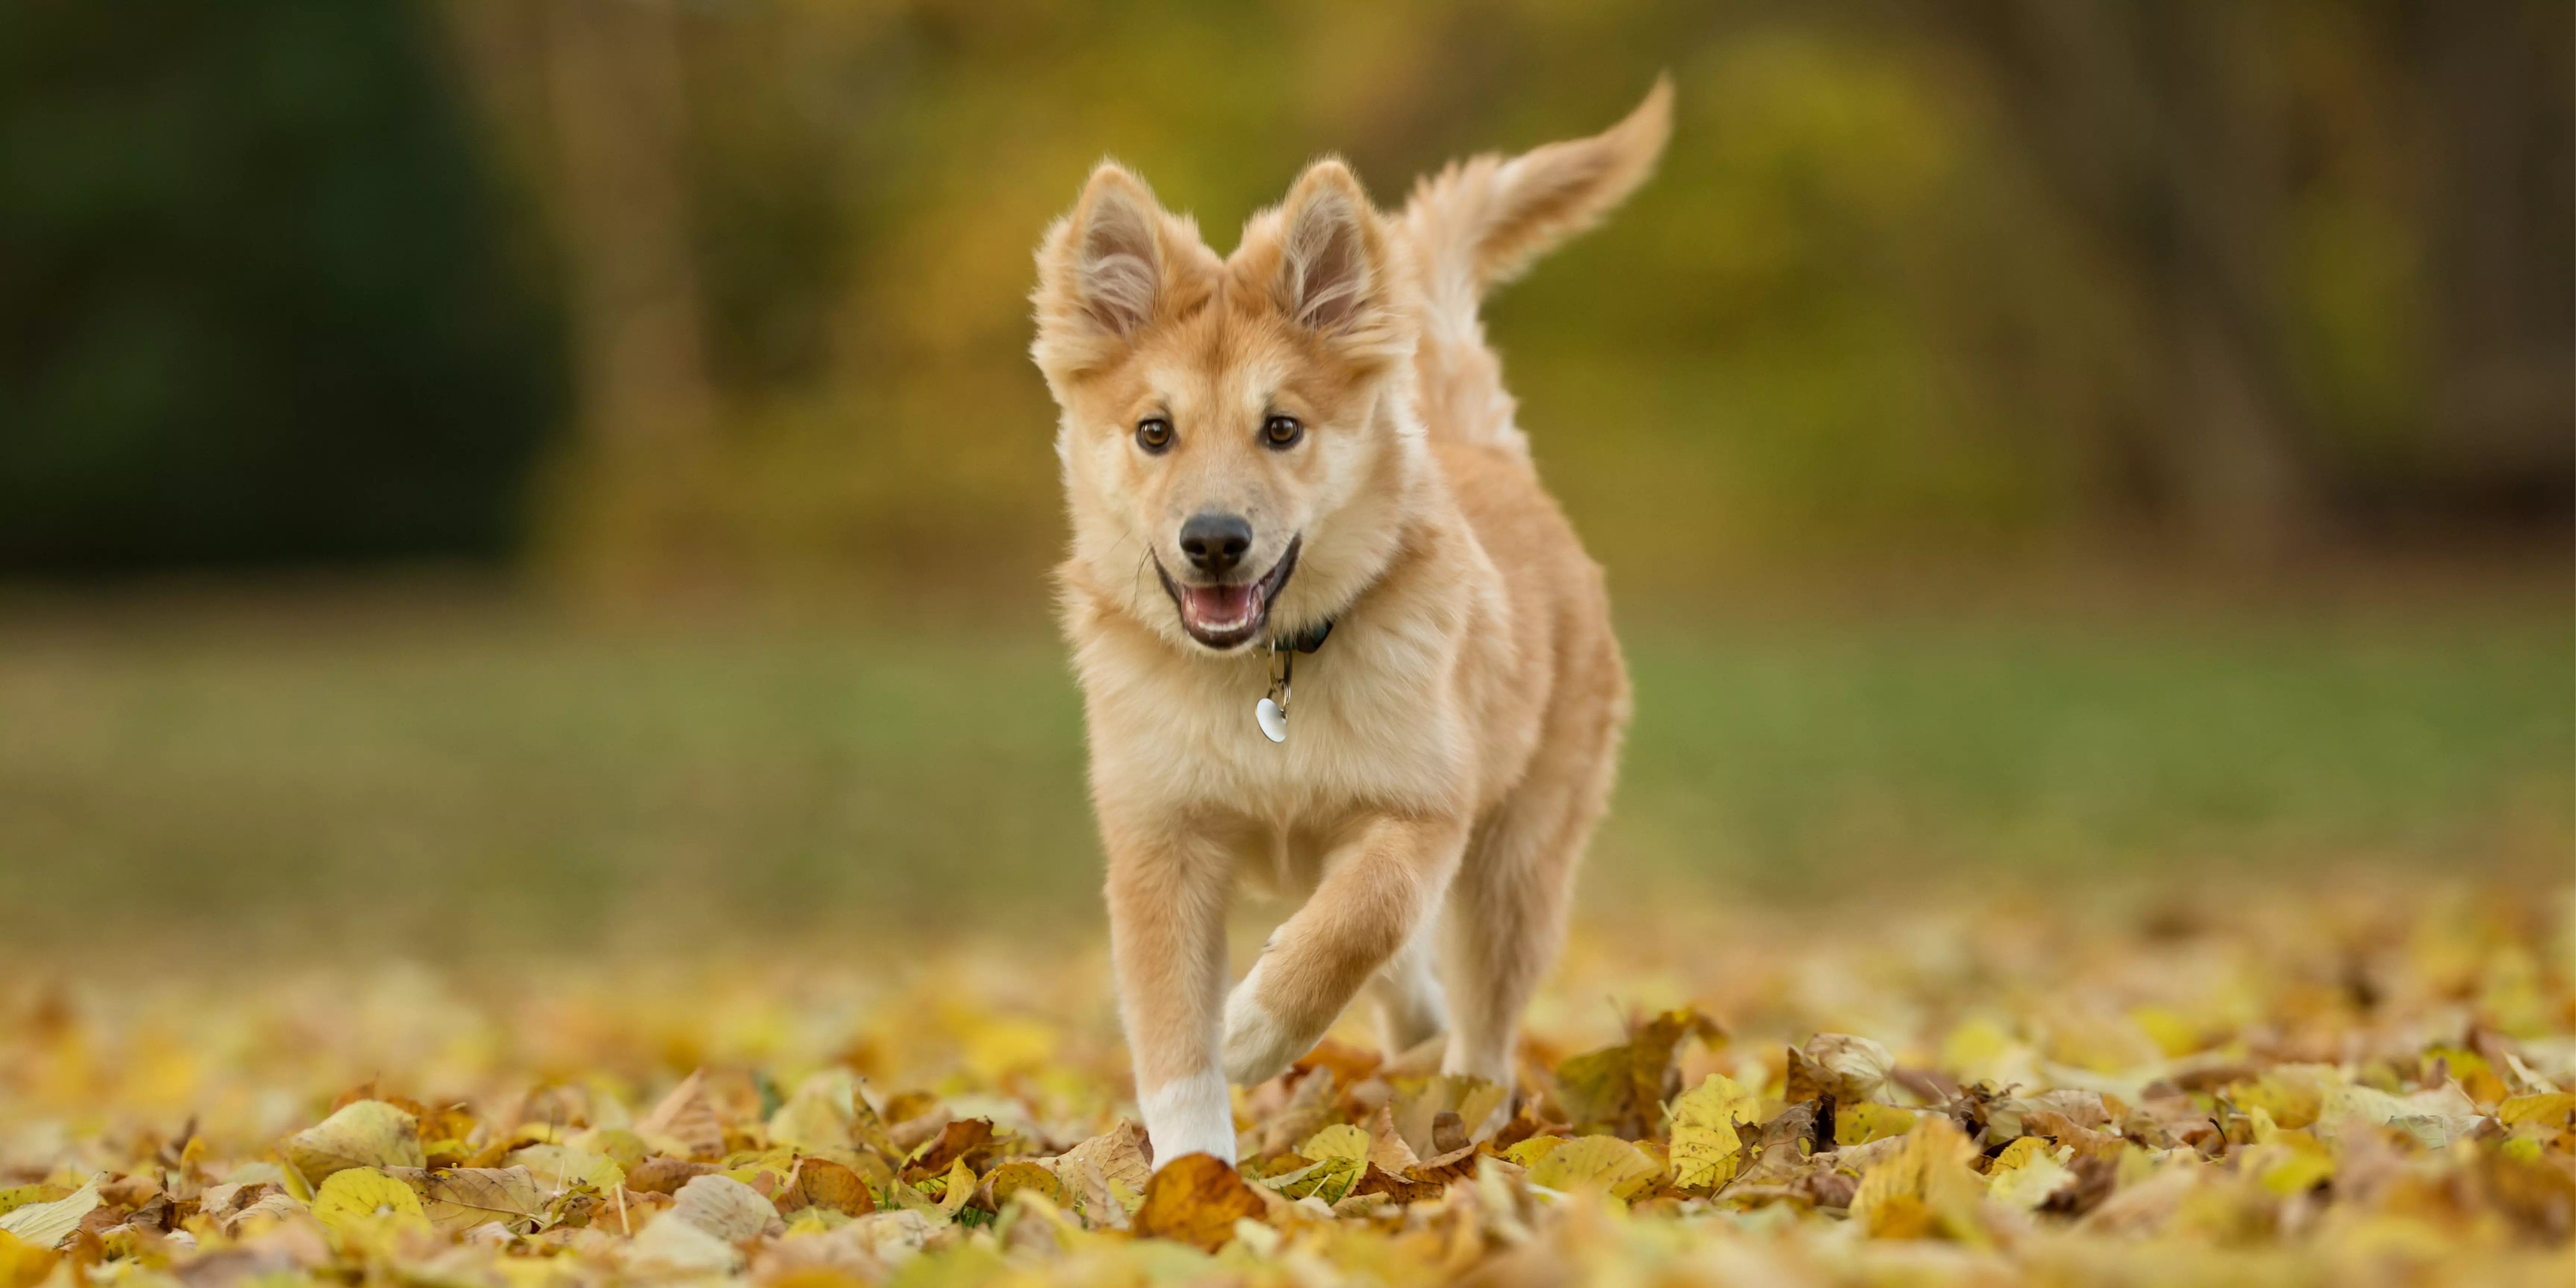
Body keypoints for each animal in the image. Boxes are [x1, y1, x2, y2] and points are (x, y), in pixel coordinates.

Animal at [1025, 80, 1669, 1169]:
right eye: (1155, 431)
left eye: (1282, 428)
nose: (1214, 541)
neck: (1264, 680)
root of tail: (1490, 455)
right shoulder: (1160, 842)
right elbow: (1173, 1040)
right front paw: (1193, 1179)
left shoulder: (1423, 806)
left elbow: (1365, 917)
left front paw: (1255, 1026)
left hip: (1519, 859)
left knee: (1482, 1020)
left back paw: (1467, 1120)